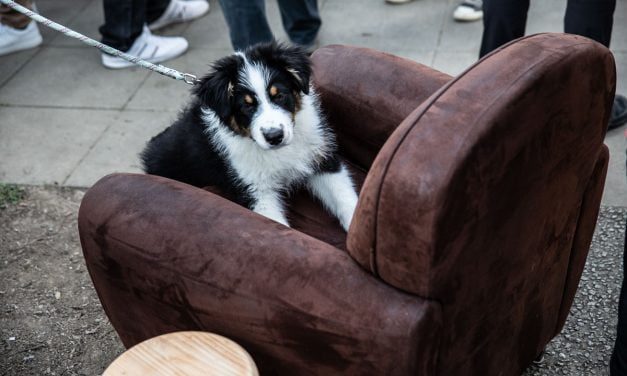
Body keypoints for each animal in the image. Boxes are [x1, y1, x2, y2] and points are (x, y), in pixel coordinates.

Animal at [142, 41, 358, 229]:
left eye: (279, 95)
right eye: (246, 106)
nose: (275, 136)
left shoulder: (322, 158)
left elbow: (344, 197)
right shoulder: (254, 189)